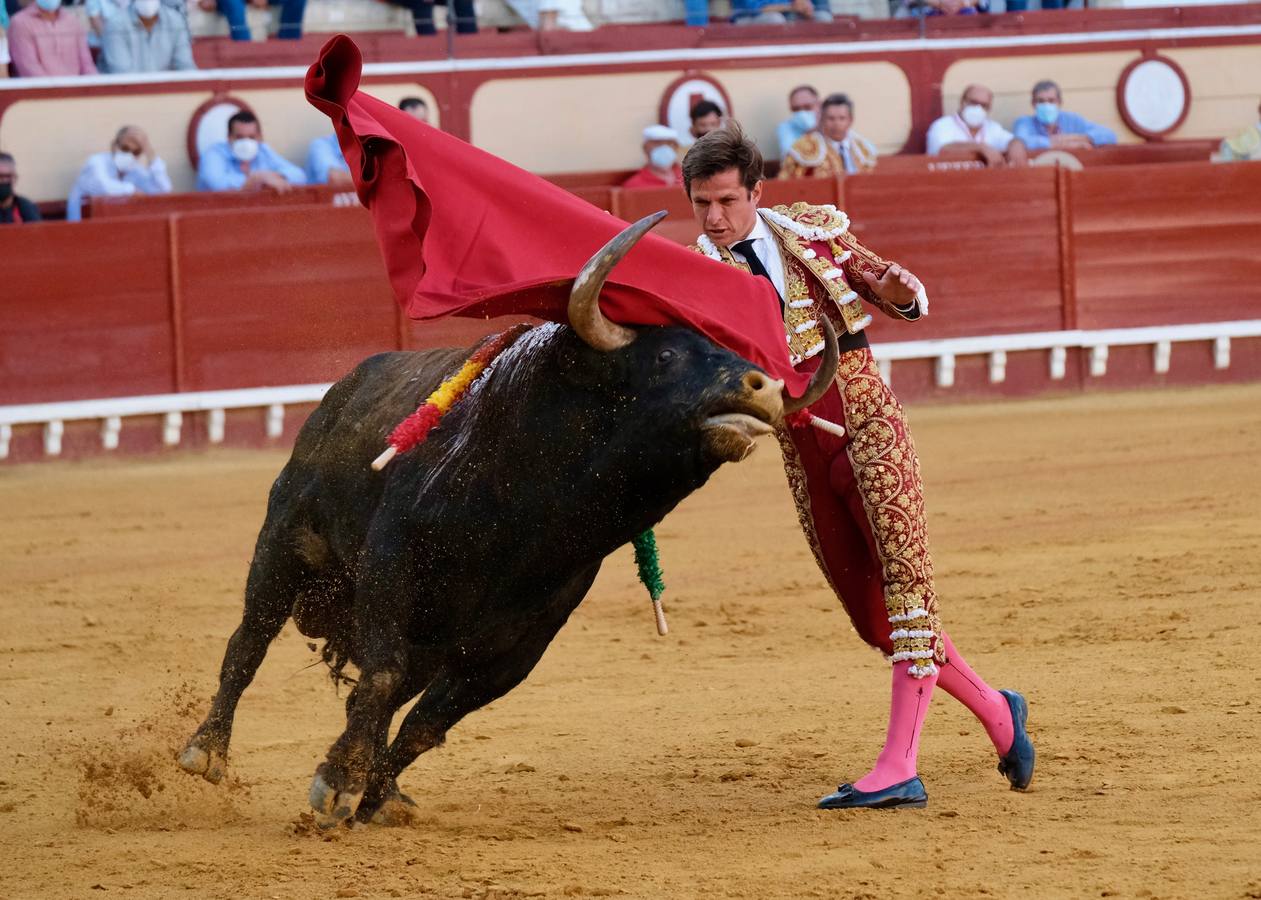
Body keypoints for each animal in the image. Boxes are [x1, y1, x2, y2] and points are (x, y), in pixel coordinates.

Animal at [175, 207, 827, 821]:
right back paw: (205, 751)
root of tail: (343, 390)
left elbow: (425, 723)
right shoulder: (391, 569)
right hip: (284, 543)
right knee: (249, 641)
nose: (764, 387)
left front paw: (377, 795)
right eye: (666, 353)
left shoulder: (517, 645)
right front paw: (337, 786)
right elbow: (380, 675)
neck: (529, 516)